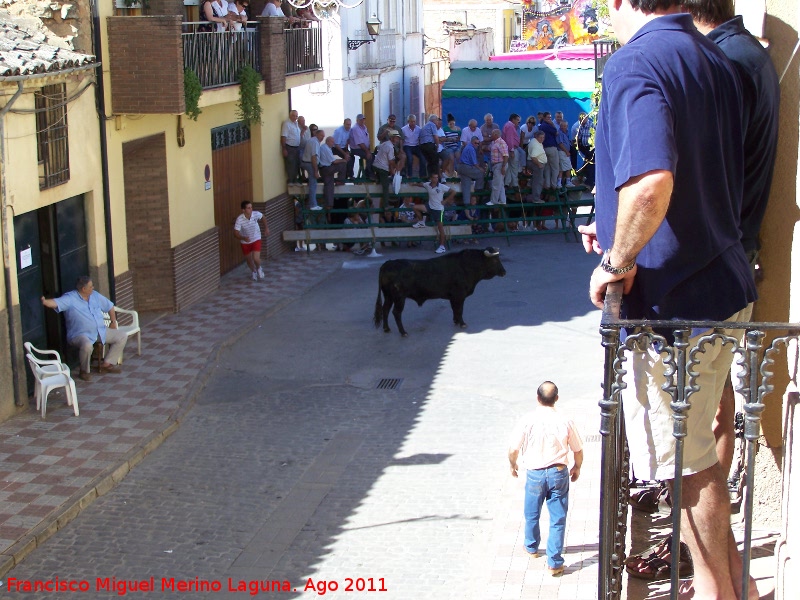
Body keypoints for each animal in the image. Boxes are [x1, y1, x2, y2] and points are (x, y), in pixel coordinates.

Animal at [374, 246, 506, 336]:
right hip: (399, 298)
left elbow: (454, 309)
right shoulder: (459, 295)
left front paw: (456, 321)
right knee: (396, 312)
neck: (467, 266)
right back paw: (403, 332)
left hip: (389, 296)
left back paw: (386, 328)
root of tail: (388, 263)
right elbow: (459, 309)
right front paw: (462, 323)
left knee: (385, 309)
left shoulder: (453, 297)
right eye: (495, 260)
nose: (504, 272)